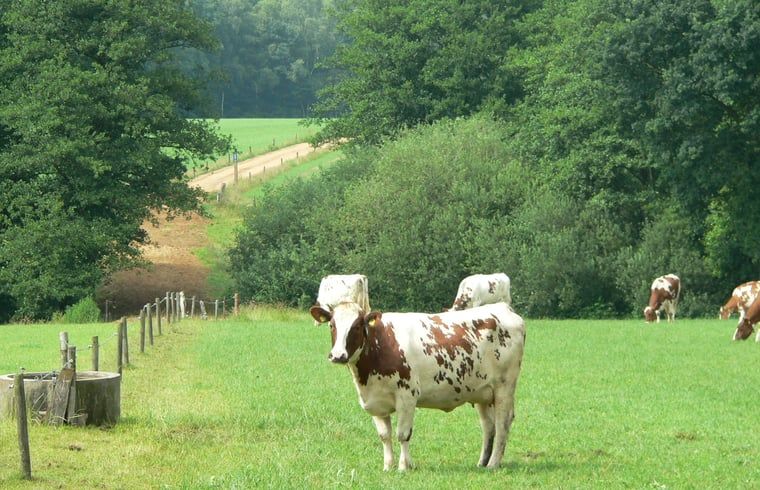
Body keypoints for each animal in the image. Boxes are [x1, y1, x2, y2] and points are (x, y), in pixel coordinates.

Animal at [310, 301, 525, 471]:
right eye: (332, 325)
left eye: (356, 327)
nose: (338, 355)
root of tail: (502, 307)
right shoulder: (375, 402)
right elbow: (384, 436)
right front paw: (388, 466)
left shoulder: (407, 397)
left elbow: (403, 434)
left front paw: (403, 466)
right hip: (482, 392)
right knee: (489, 427)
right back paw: (482, 462)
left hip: (504, 387)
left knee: (502, 423)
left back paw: (493, 464)